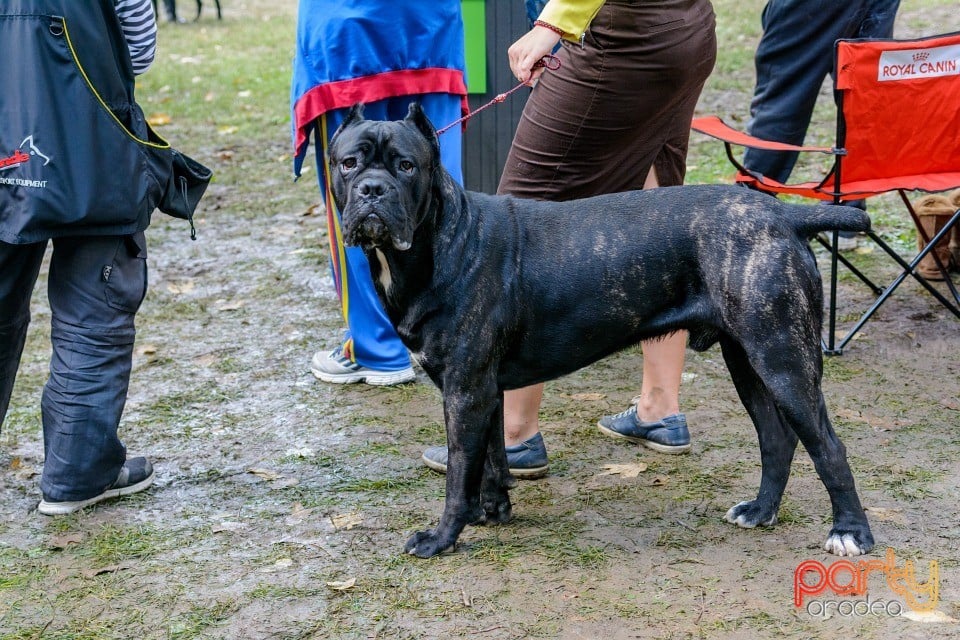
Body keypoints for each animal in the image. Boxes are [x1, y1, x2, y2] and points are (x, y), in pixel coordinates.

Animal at [332, 102, 876, 556]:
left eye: (406, 166)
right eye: (348, 163)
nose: (372, 190)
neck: (441, 239)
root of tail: (783, 214)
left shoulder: (464, 390)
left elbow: (459, 473)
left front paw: (442, 537)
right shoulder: (483, 390)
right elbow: (489, 461)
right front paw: (493, 511)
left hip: (784, 360)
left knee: (828, 447)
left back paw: (850, 532)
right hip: (747, 360)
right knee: (776, 439)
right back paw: (760, 511)